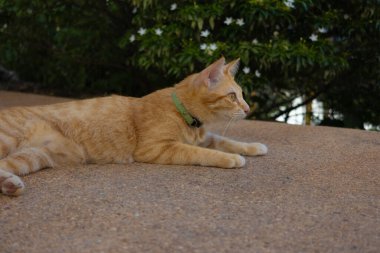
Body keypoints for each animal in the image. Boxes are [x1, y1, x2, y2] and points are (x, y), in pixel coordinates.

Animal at [0, 57, 268, 196]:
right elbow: (203, 153)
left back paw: (10, 184)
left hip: (34, 156)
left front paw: (254, 147)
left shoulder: (204, 136)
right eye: (233, 96)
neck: (185, 114)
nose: (247, 109)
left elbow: (224, 141)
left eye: (242, 95)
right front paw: (231, 158)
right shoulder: (157, 148)